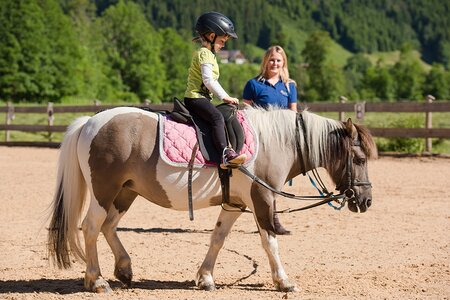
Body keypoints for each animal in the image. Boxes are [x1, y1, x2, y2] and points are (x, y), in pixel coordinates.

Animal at [46, 106, 376, 292]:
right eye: (359, 159)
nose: (366, 200)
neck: (276, 142)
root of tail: (90, 122)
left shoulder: (235, 203)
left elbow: (218, 238)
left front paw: (205, 278)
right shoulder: (261, 199)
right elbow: (269, 242)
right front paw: (283, 281)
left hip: (125, 192)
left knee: (109, 226)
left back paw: (124, 269)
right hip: (105, 191)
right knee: (91, 227)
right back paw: (96, 280)